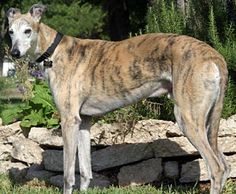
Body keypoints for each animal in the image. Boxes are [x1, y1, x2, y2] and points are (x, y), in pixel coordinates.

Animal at [6, 3, 229, 194]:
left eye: (28, 31)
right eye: (10, 31)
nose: (14, 53)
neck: (54, 51)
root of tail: (214, 55)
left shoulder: (69, 120)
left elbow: (68, 175)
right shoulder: (83, 121)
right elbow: (85, 171)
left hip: (188, 119)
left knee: (216, 169)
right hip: (207, 121)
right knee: (226, 165)